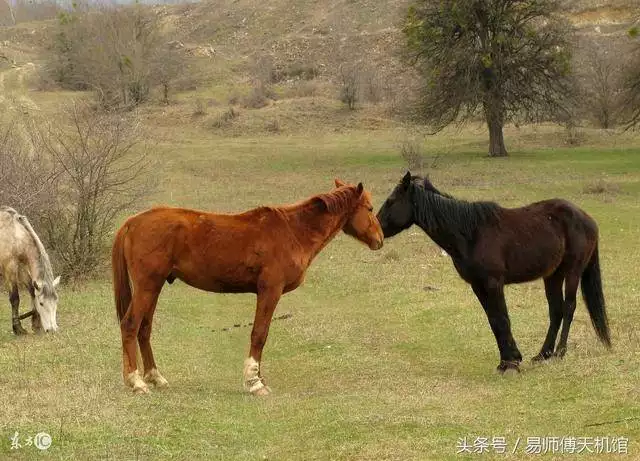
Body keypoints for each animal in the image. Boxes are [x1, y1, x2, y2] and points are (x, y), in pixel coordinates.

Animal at [112, 178, 382, 394]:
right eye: (369, 208)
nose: (379, 240)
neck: (293, 231)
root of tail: (132, 222)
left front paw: (260, 377)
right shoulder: (269, 291)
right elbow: (259, 334)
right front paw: (255, 382)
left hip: (154, 287)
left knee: (144, 329)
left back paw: (155, 377)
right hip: (147, 286)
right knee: (130, 325)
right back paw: (136, 382)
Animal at [378, 172, 612, 370]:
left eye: (391, 201)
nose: (377, 231)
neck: (471, 234)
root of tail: (588, 219)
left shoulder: (493, 283)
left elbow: (502, 319)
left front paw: (511, 363)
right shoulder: (478, 286)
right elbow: (493, 320)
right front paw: (507, 360)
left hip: (572, 272)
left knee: (569, 307)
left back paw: (559, 353)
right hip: (552, 275)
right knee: (556, 310)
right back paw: (543, 354)